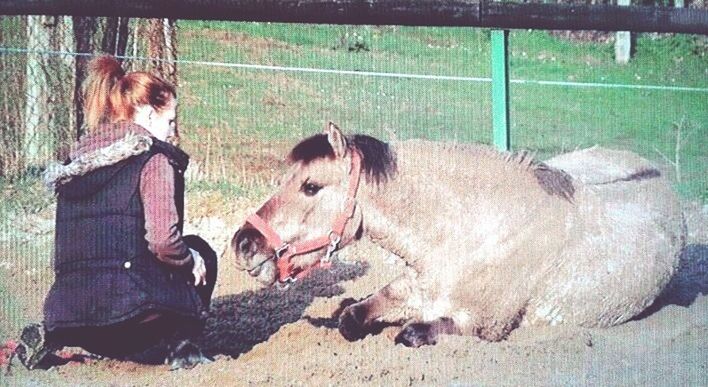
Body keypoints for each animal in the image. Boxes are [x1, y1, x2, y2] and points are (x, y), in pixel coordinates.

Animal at [230, 123, 684, 348]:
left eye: (310, 186)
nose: (243, 245)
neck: (468, 232)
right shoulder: (411, 290)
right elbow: (352, 317)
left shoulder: (482, 324)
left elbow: (412, 333)